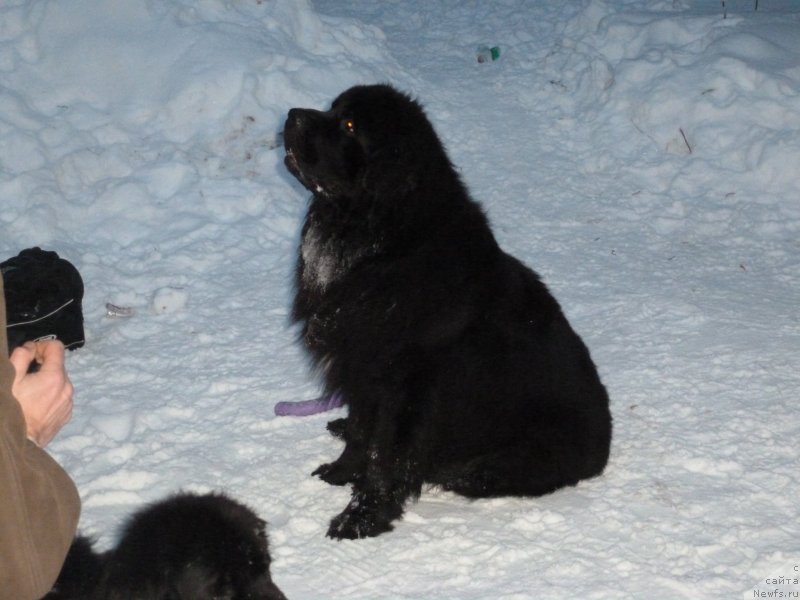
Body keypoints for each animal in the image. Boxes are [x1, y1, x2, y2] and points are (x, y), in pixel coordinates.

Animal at [282, 83, 612, 540]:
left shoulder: (405, 388)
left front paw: (361, 518)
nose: (291, 114)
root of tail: (604, 449)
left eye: (348, 125)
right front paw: (341, 471)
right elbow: (362, 435)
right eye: (333, 108)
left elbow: (385, 457)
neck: (383, 246)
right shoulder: (362, 370)